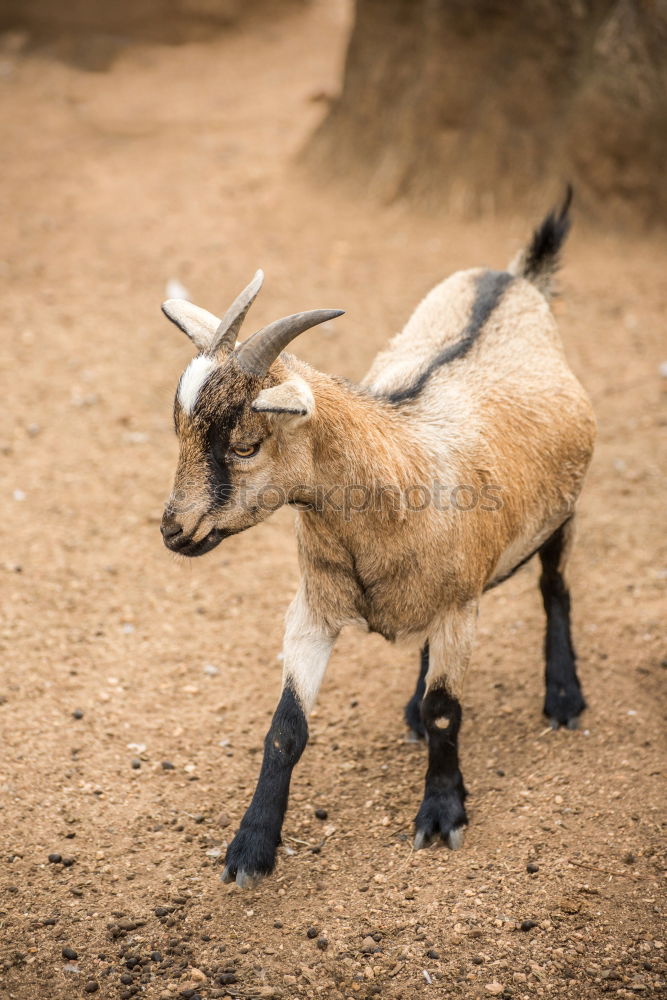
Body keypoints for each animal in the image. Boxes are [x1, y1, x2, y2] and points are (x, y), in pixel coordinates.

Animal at [160, 191, 596, 888]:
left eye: (246, 444)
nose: (175, 530)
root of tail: (513, 278)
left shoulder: (459, 606)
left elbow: (449, 711)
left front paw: (442, 814)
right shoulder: (314, 608)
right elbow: (285, 730)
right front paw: (250, 848)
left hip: (562, 513)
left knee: (555, 589)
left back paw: (563, 696)